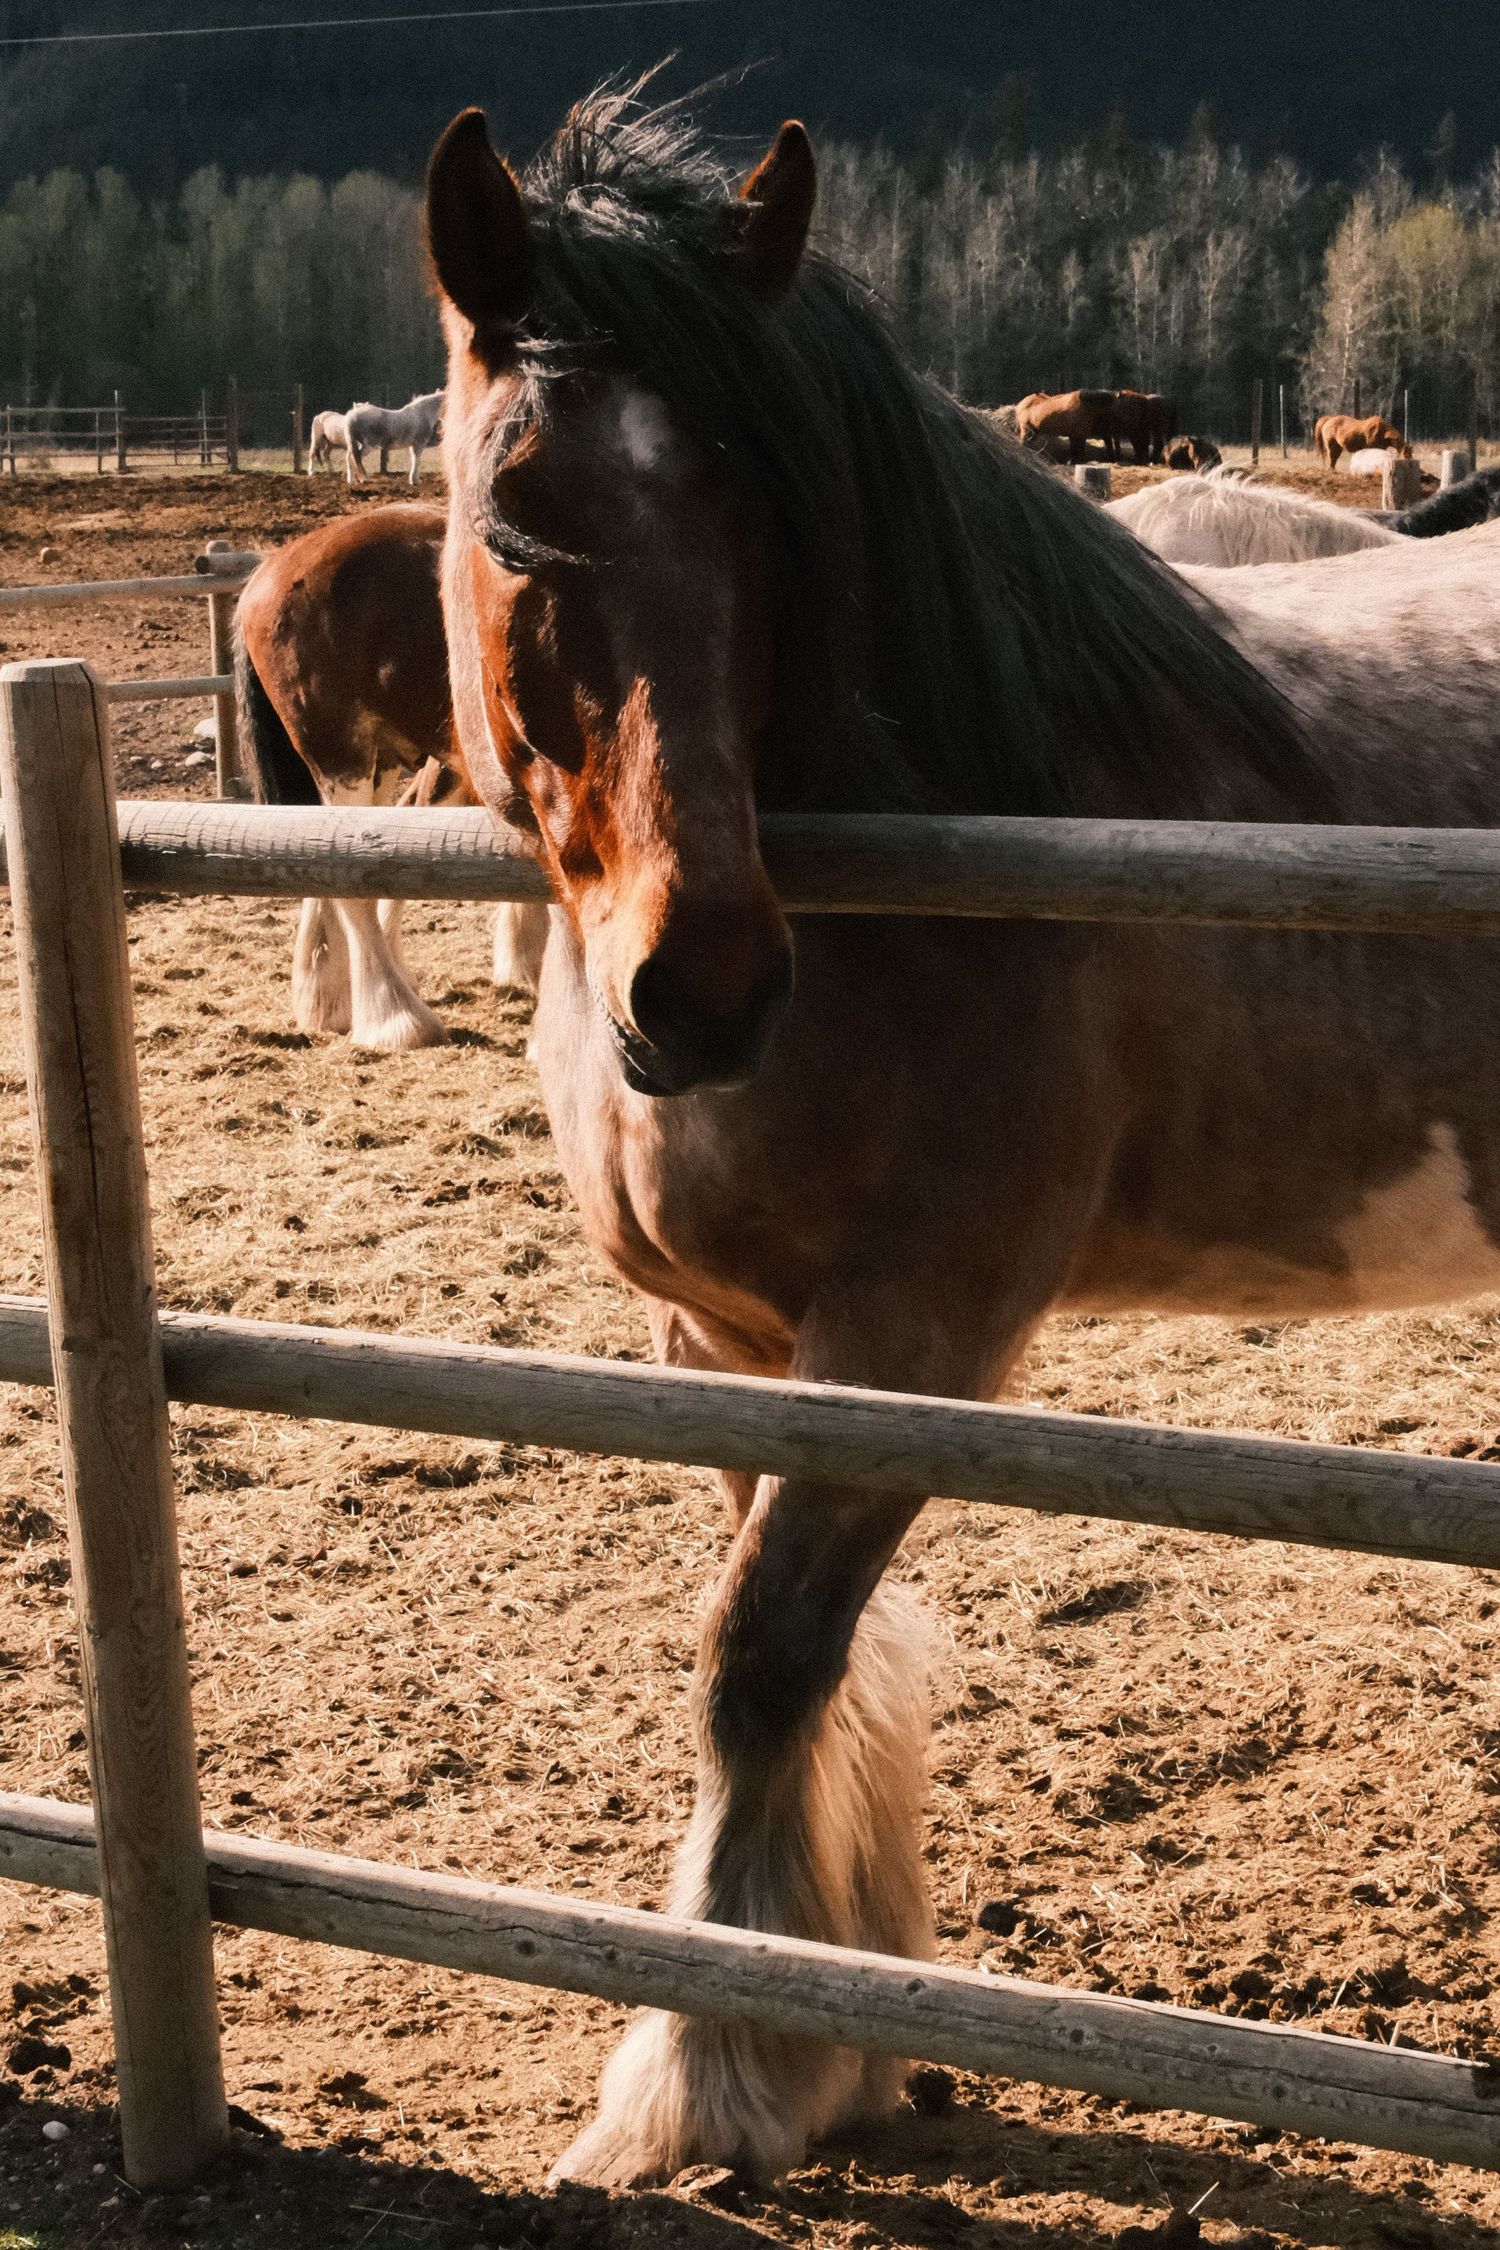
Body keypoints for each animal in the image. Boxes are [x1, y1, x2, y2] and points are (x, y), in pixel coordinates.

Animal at [235, 503, 547, 1046]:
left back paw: (328, 997)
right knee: (344, 871)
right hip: (342, 760)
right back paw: (395, 1016)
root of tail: (270, 569)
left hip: (382, 764)